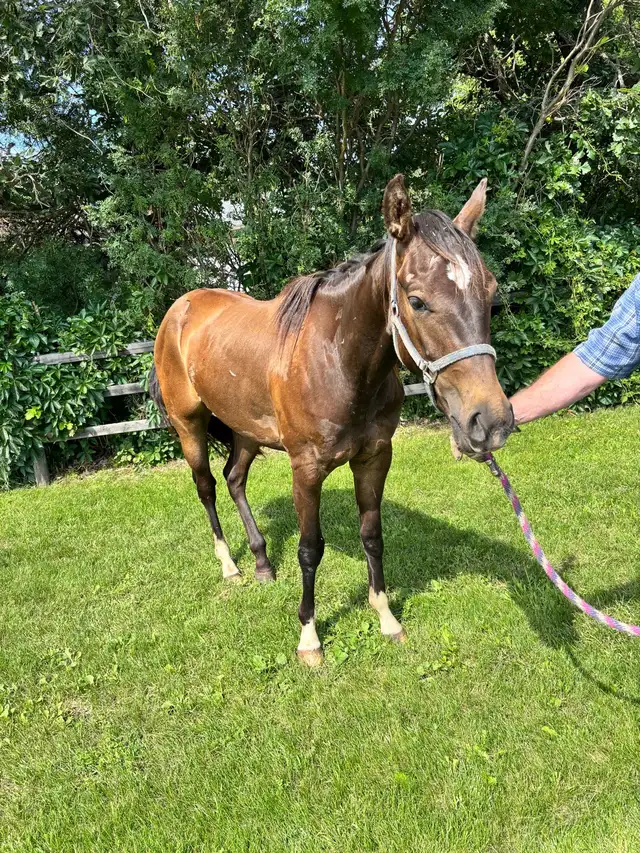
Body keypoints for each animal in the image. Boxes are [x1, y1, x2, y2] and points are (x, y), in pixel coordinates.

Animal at [150, 174, 514, 666]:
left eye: (490, 297)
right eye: (417, 301)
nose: (490, 422)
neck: (339, 361)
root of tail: (179, 309)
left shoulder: (375, 458)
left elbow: (372, 535)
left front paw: (387, 618)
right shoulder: (306, 469)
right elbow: (310, 550)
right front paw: (309, 637)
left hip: (247, 431)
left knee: (234, 479)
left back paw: (262, 562)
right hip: (190, 425)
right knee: (207, 486)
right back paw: (230, 565)